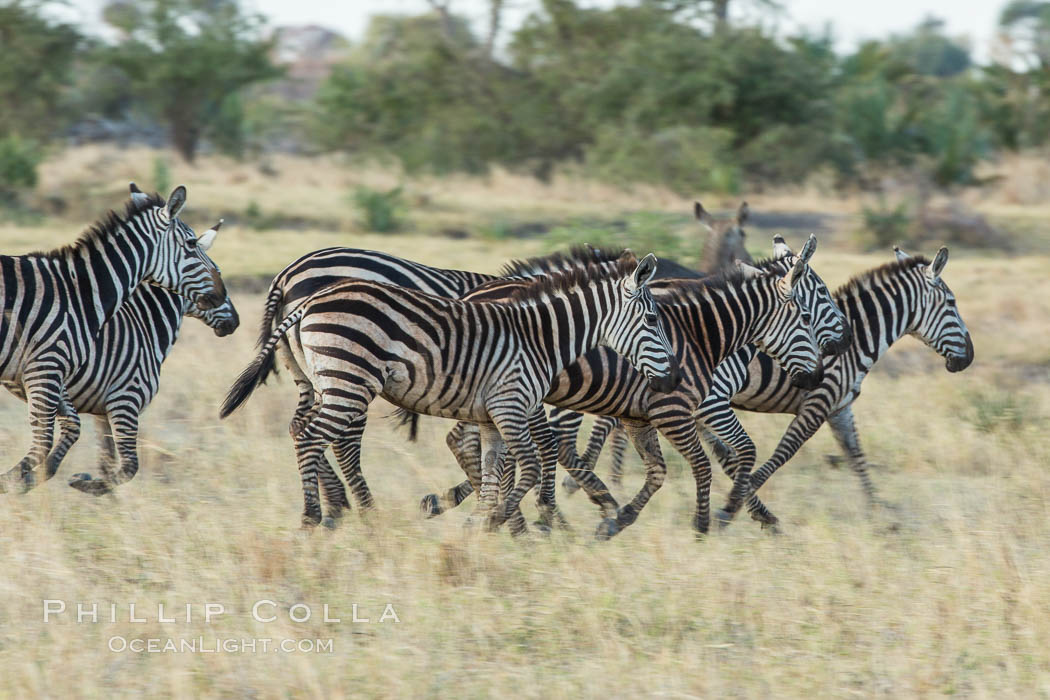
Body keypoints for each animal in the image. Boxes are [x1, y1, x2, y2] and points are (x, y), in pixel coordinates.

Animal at [0, 185, 227, 493]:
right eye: (191, 245)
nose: (233, 315)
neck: (83, 293)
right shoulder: (106, 391)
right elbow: (119, 463)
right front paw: (13, 482)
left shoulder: (64, 381)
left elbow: (81, 435)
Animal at [220, 251, 680, 531]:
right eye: (653, 319)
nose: (673, 378)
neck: (539, 336)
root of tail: (300, 289)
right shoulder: (512, 403)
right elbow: (534, 460)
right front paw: (520, 521)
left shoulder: (494, 413)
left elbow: (496, 469)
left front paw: (487, 521)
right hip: (350, 381)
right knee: (322, 439)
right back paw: (323, 516)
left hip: (318, 378)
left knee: (303, 432)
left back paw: (336, 510)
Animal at [422, 235, 848, 537]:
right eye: (817, 301)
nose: (842, 344)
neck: (705, 333)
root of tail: (474, 292)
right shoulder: (705, 404)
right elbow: (737, 454)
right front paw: (723, 515)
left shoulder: (664, 410)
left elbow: (712, 459)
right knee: (494, 443)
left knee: (470, 440)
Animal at [550, 245, 974, 524]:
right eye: (953, 303)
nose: (967, 359)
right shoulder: (819, 402)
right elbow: (784, 451)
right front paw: (740, 502)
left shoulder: (840, 408)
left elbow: (855, 455)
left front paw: (878, 511)